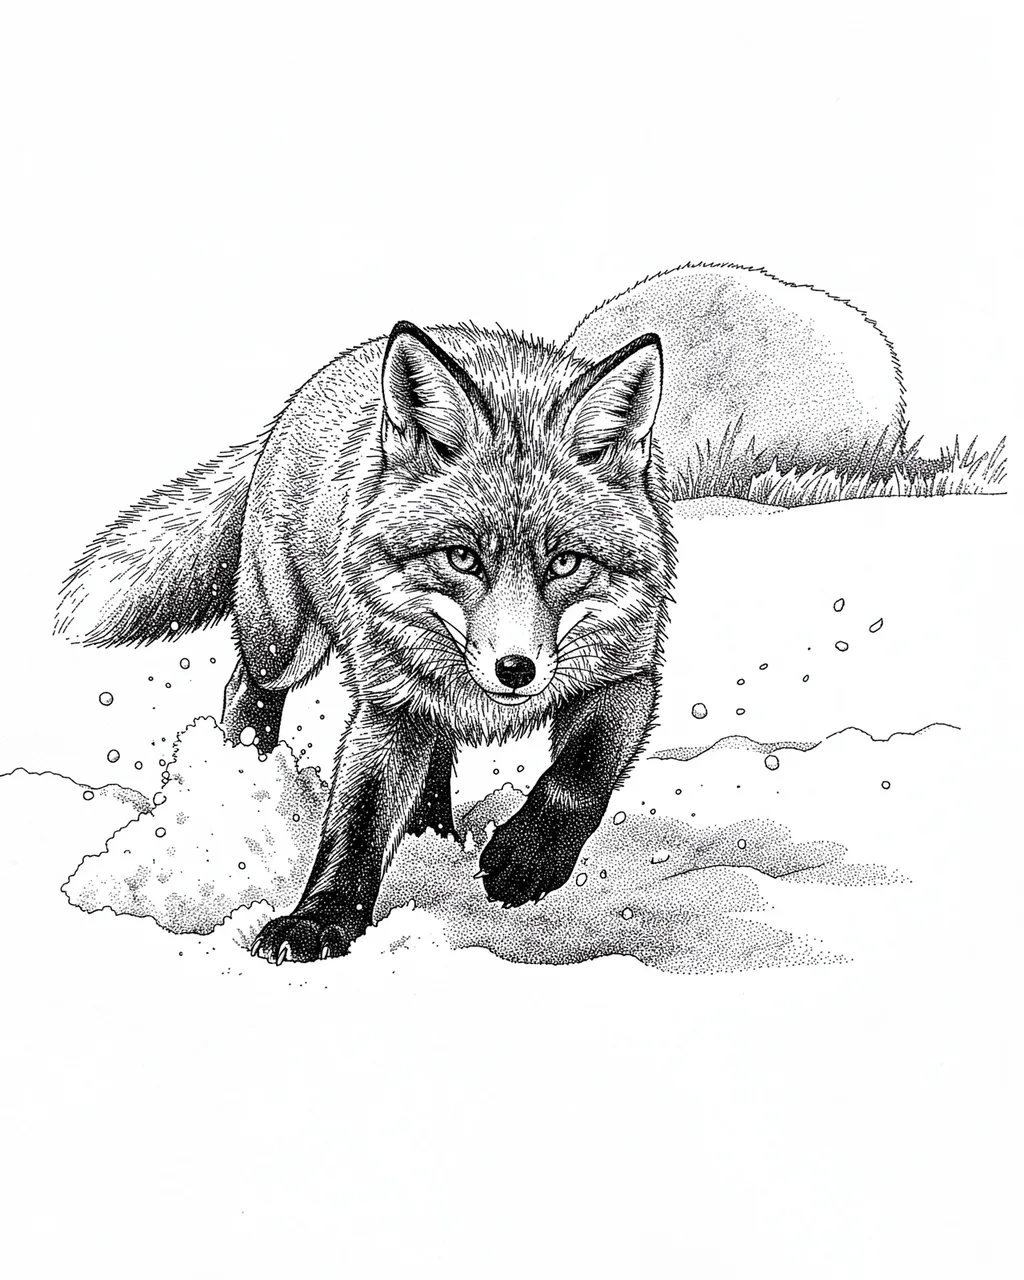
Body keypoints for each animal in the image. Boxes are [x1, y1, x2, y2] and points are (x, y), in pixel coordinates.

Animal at [55, 263, 905, 963]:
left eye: (565, 563)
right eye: (464, 558)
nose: (516, 670)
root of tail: (315, 388)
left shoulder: (626, 679)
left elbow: (577, 779)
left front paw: (525, 859)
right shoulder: (387, 705)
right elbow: (355, 824)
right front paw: (322, 917)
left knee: (438, 754)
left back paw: (432, 827)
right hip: (286, 638)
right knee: (248, 685)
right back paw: (243, 776)